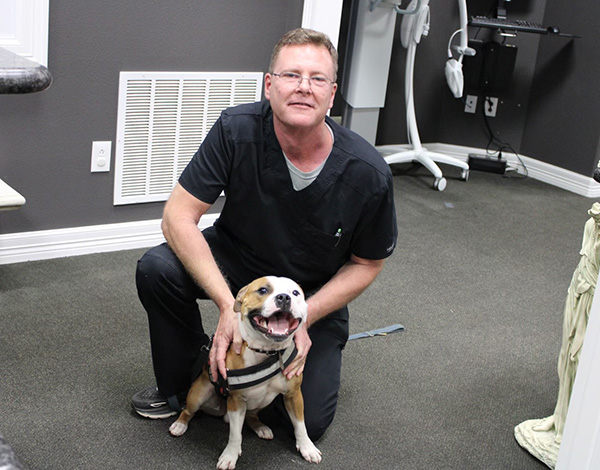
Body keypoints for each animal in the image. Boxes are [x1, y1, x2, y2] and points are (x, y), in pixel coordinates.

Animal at [169, 276, 322, 470]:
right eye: (263, 290)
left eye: (295, 293)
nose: (284, 297)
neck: (266, 352)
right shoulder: (236, 401)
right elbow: (235, 435)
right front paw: (230, 455)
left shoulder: (293, 395)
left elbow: (301, 425)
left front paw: (307, 447)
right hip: (198, 394)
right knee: (188, 411)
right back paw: (179, 425)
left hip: (263, 402)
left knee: (251, 415)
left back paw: (261, 427)